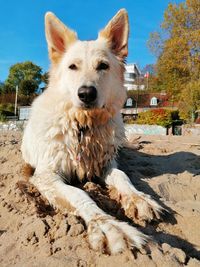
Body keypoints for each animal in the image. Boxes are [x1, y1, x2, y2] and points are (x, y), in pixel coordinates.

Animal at [21, 9, 162, 254]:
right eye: (72, 67)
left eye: (103, 66)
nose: (86, 93)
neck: (83, 126)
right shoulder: (46, 175)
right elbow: (80, 193)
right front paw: (109, 226)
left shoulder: (105, 163)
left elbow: (123, 177)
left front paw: (138, 198)